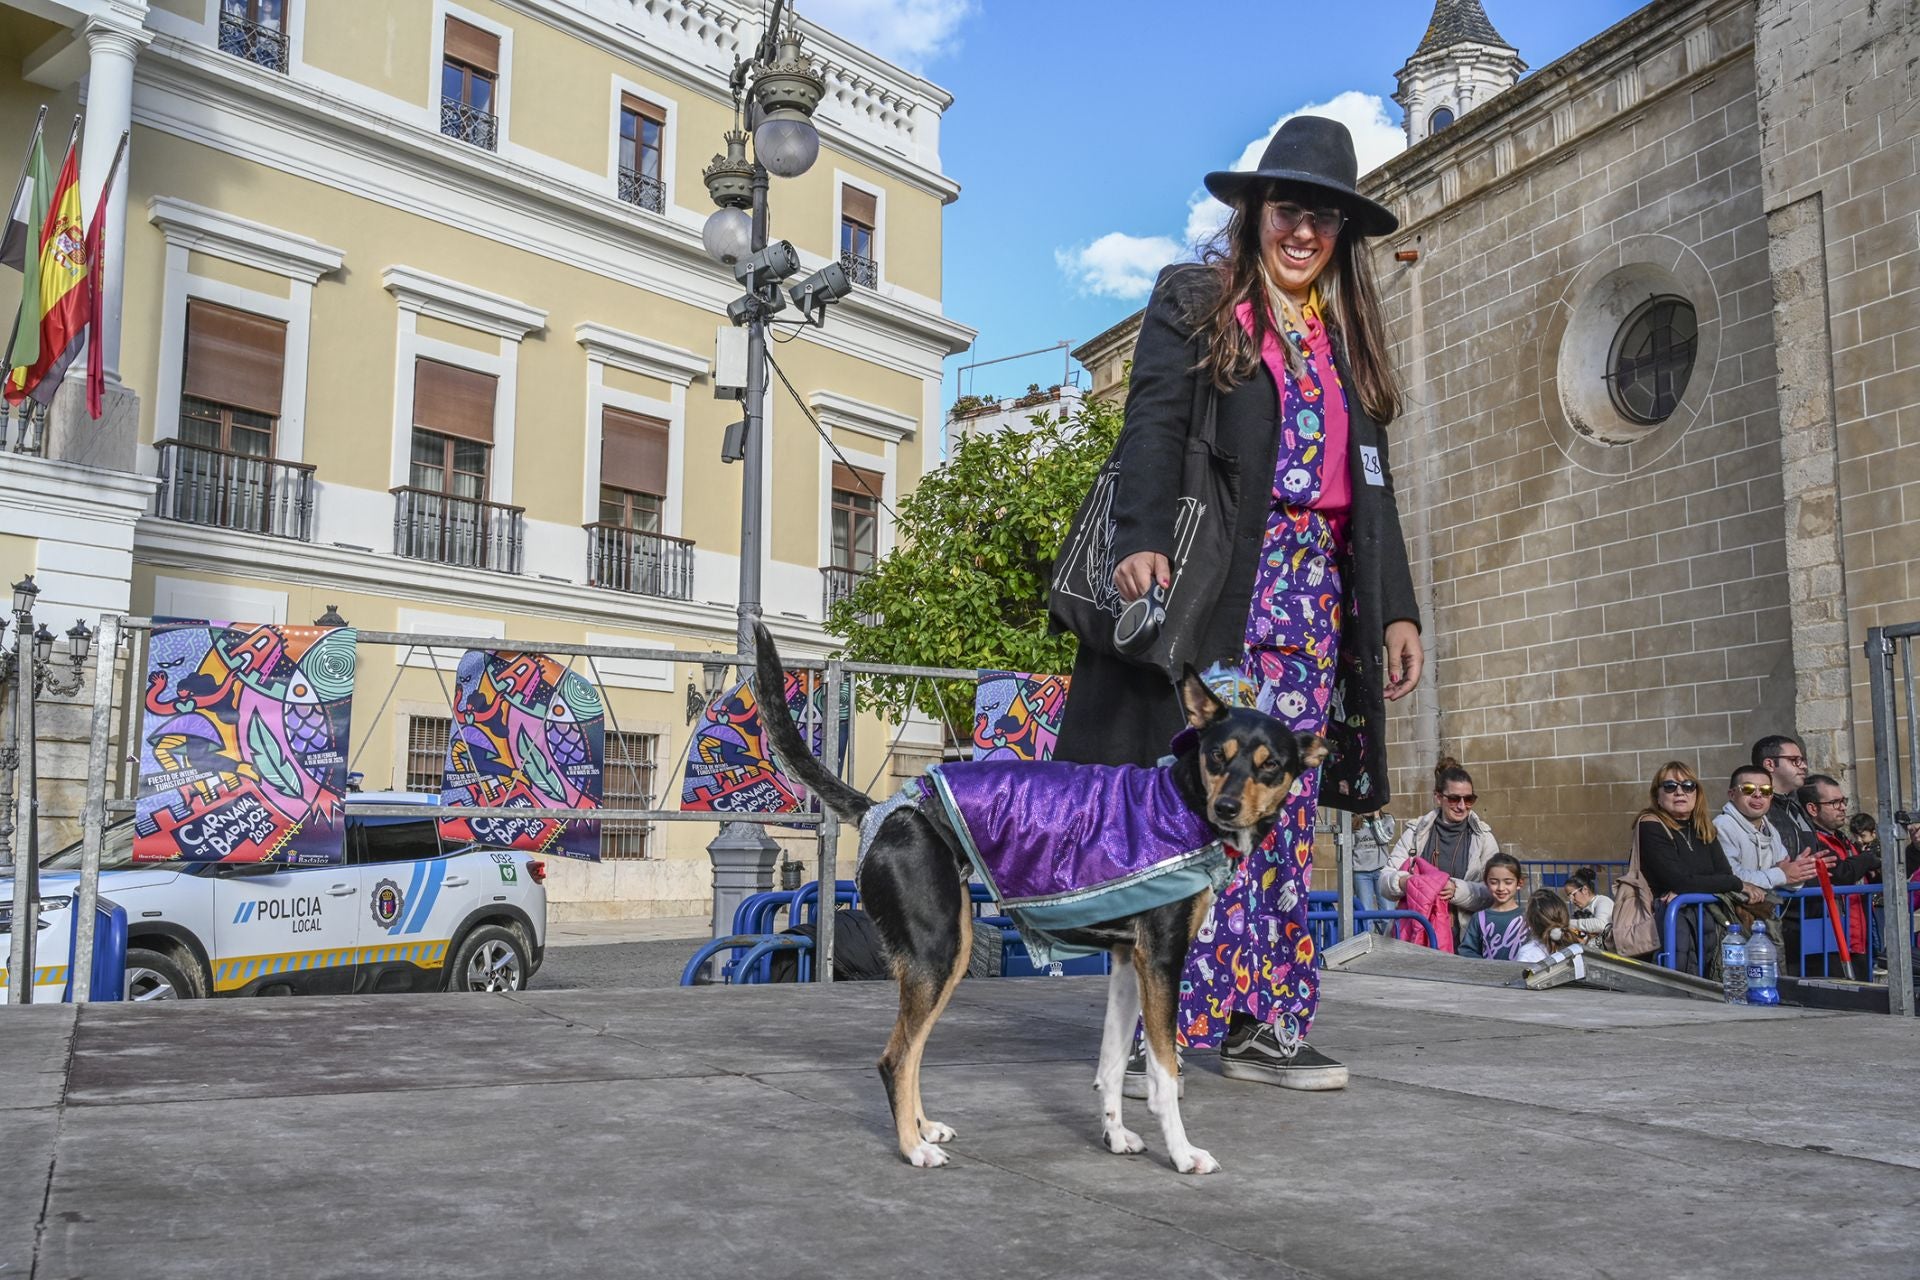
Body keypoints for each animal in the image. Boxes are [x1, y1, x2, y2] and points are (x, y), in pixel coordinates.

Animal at [748, 625, 1320, 1174]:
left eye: (1270, 767)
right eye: (1217, 756)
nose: (1226, 807)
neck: (1181, 801)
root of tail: (882, 810)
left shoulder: (1126, 961)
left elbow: (1112, 1064)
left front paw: (1115, 1137)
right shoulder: (1161, 959)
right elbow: (1162, 1075)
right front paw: (1181, 1154)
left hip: (951, 955)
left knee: (912, 1050)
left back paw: (924, 1128)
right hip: (936, 952)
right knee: (895, 1059)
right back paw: (913, 1149)